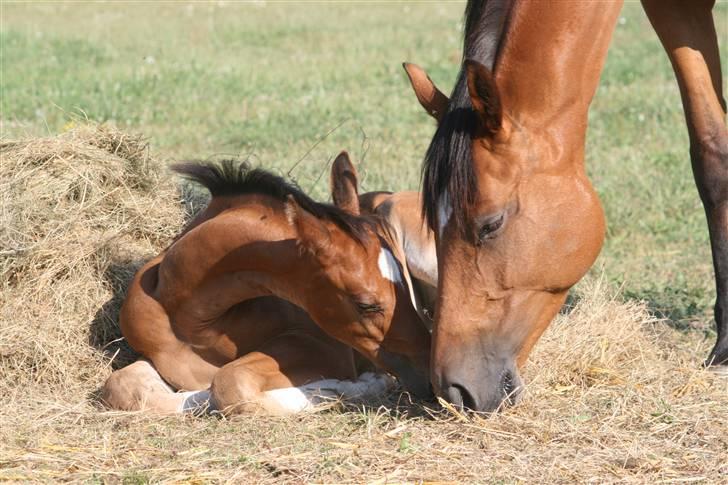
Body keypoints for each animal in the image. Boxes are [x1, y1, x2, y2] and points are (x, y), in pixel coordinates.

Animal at [102, 157, 432, 414]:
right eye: (366, 304)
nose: (428, 375)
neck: (197, 323)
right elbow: (121, 386)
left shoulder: (323, 346)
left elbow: (230, 384)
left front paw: (346, 388)